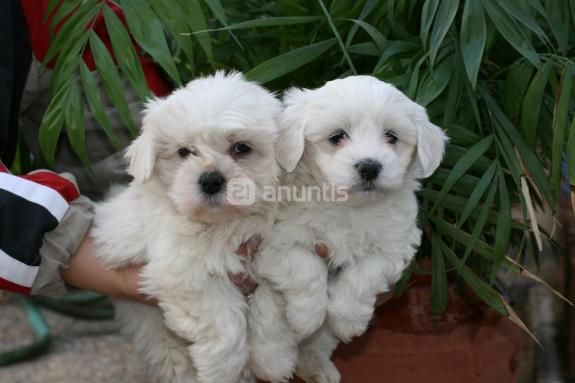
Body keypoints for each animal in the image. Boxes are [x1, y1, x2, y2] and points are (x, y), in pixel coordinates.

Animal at [91, 72, 284, 383]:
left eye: (241, 148)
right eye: (184, 152)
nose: (211, 180)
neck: (224, 223)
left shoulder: (269, 255)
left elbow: (270, 307)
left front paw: (274, 360)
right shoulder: (184, 272)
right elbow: (223, 325)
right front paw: (223, 371)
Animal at [251, 76, 446, 383]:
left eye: (391, 137)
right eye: (337, 137)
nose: (370, 166)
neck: (348, 207)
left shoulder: (396, 246)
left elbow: (365, 272)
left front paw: (347, 319)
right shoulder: (274, 244)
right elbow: (306, 265)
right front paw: (307, 316)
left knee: (313, 348)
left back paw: (317, 368)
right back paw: (274, 363)